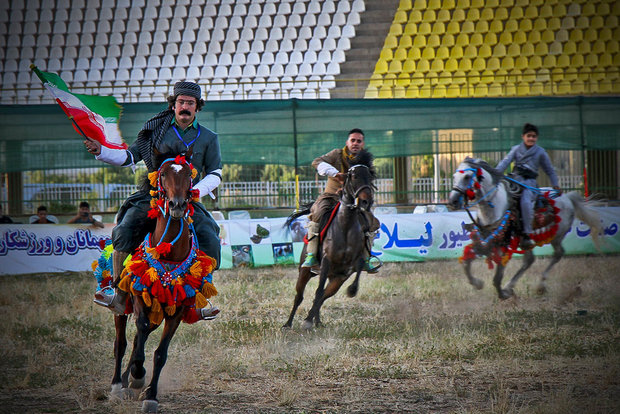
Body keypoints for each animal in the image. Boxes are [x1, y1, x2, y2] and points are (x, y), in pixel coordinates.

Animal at [108, 153, 218, 414]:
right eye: (164, 173)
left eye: (189, 174)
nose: (177, 206)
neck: (169, 252)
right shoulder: (140, 297)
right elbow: (140, 331)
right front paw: (137, 376)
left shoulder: (176, 311)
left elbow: (160, 353)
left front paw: (150, 395)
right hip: (123, 304)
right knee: (122, 341)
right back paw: (118, 385)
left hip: (159, 310)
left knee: (138, 338)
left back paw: (129, 381)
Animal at [284, 152, 376, 330]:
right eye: (353, 176)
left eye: (370, 177)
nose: (366, 202)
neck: (345, 225)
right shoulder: (326, 262)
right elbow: (318, 292)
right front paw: (306, 321)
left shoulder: (349, 268)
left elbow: (358, 267)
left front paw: (352, 290)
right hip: (305, 272)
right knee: (300, 296)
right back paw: (288, 323)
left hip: (335, 278)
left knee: (322, 296)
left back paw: (317, 321)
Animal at [446, 157, 600, 300]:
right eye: (454, 177)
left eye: (467, 177)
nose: (452, 201)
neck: (493, 208)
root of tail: (567, 198)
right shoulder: (485, 243)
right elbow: (466, 262)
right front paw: (478, 283)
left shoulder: (503, 245)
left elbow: (497, 277)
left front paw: (502, 294)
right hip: (526, 242)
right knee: (529, 260)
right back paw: (510, 286)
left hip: (557, 236)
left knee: (558, 254)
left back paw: (540, 286)